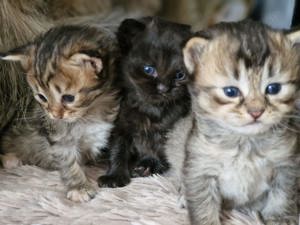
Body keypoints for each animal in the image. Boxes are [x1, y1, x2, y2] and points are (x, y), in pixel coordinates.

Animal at [0, 24, 119, 202]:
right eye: (41, 97)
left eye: (68, 98)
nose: (55, 115)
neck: (90, 112)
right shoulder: (59, 137)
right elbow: (69, 162)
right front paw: (79, 187)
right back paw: (10, 159)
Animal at [98, 16, 192, 187]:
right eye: (148, 70)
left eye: (180, 75)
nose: (163, 88)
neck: (152, 109)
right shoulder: (119, 126)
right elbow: (118, 150)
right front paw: (115, 176)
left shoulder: (170, 129)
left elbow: (161, 150)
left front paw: (150, 165)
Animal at [183, 20, 300, 224]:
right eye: (231, 92)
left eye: (274, 88)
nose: (256, 112)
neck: (245, 142)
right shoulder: (200, 167)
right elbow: (203, 205)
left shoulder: (287, 164)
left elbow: (282, 196)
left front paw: (279, 217)